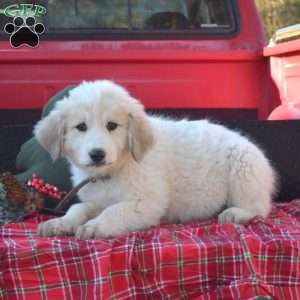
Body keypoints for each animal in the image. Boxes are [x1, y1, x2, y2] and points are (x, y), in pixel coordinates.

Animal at [35, 79, 276, 239]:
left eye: (112, 125)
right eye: (81, 127)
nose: (97, 154)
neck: (115, 170)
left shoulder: (146, 202)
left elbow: (115, 210)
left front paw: (95, 226)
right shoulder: (97, 199)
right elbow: (78, 208)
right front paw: (60, 222)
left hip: (244, 168)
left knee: (259, 206)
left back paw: (237, 213)